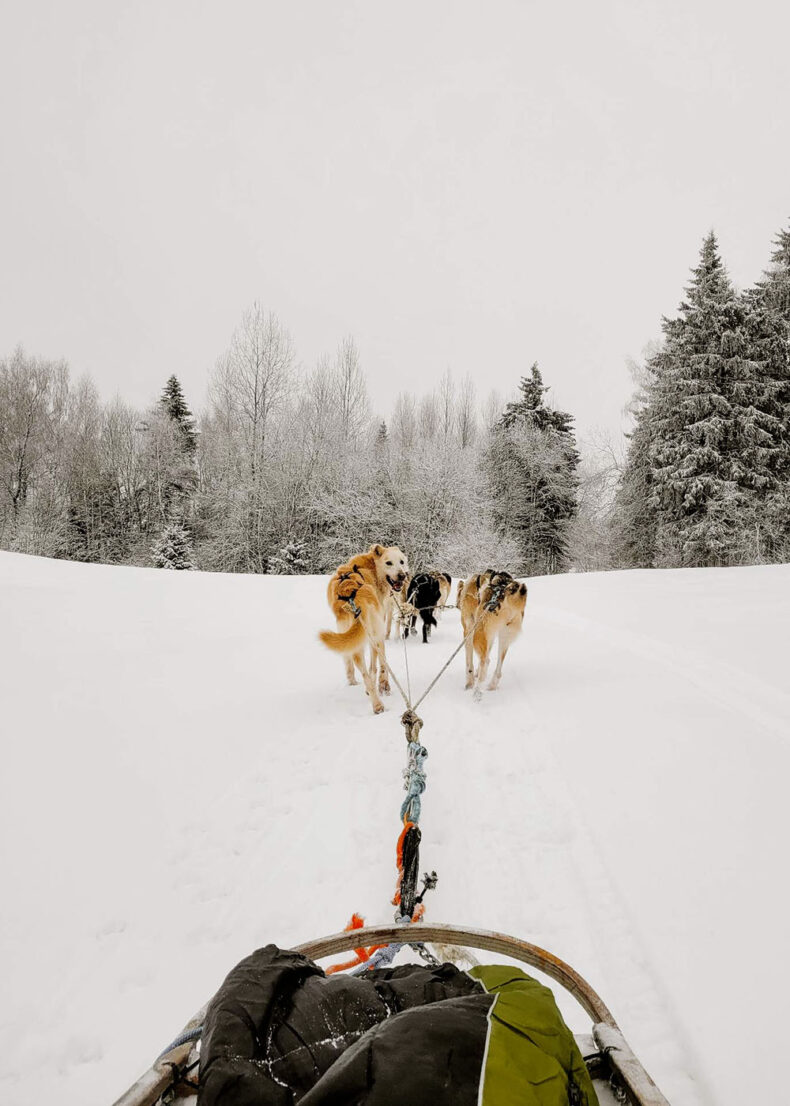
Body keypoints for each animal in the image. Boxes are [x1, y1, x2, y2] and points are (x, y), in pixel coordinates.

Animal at [318, 546, 407, 716]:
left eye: (402, 561)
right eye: (389, 562)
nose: (402, 575)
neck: (371, 567)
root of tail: (354, 598)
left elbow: (349, 663)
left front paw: (352, 681)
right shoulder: (377, 635)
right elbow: (378, 665)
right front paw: (383, 684)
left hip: (355, 643)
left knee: (363, 672)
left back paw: (376, 704)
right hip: (376, 634)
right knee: (379, 663)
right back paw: (382, 690)